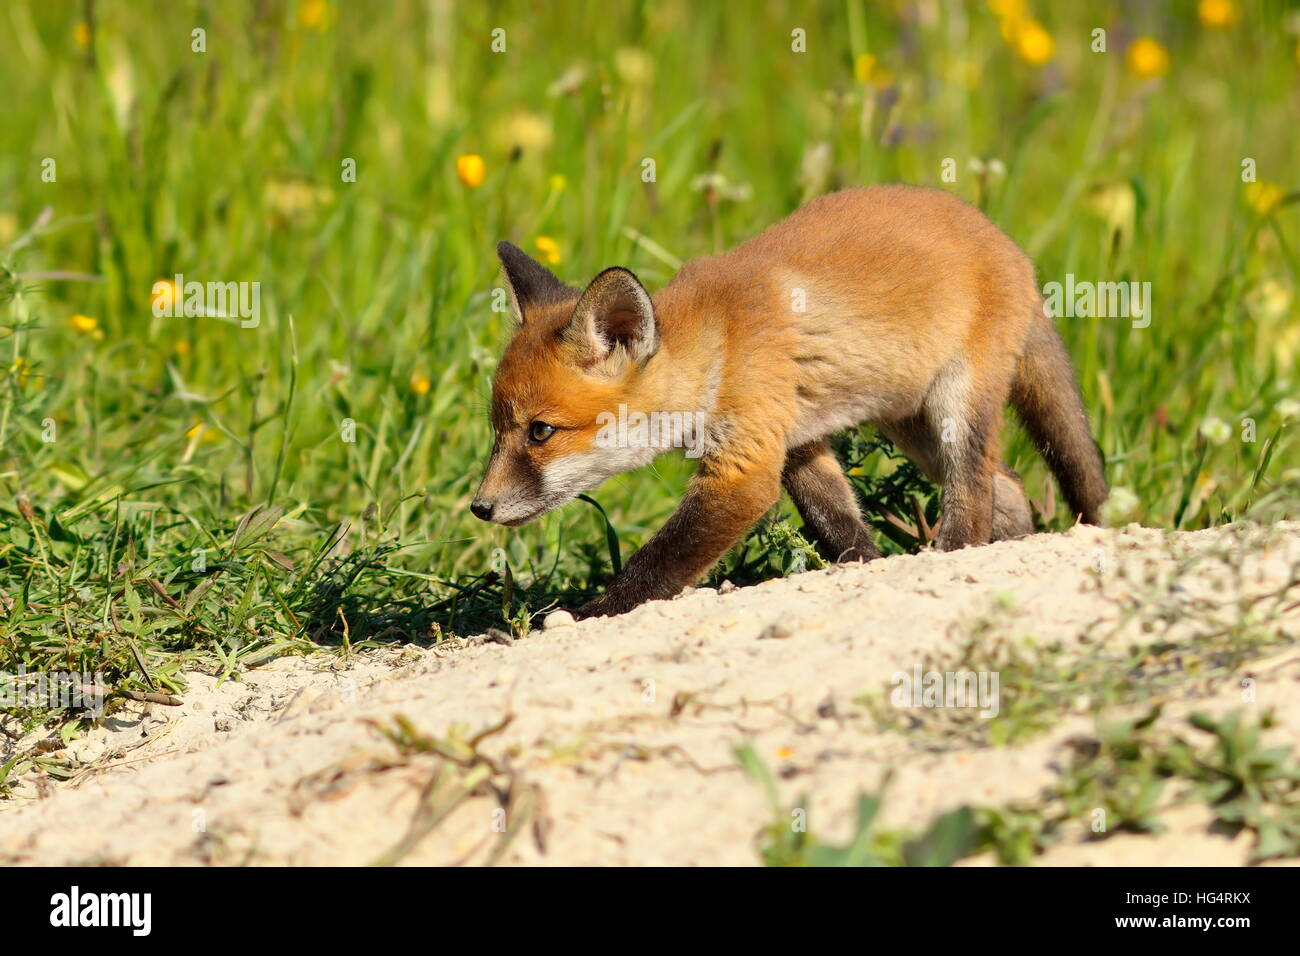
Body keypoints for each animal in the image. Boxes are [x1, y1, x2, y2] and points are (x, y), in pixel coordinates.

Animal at [475, 185, 1107, 616]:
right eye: (497, 431)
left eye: (540, 432)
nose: (480, 508)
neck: (719, 348)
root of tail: (1008, 245)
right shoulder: (795, 438)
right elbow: (838, 522)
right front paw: (865, 570)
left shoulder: (746, 463)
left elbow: (658, 560)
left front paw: (590, 613)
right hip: (912, 422)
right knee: (1010, 486)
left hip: (955, 408)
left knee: (974, 492)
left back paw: (952, 553)